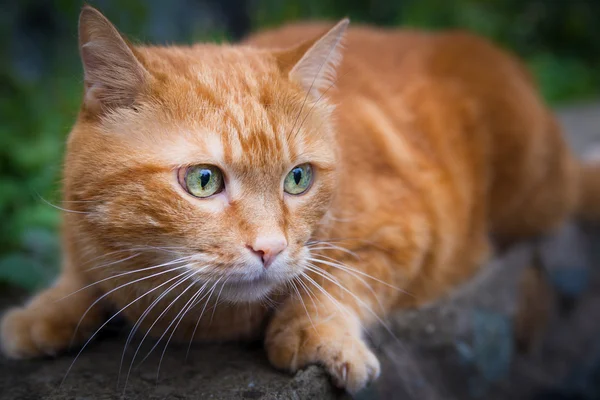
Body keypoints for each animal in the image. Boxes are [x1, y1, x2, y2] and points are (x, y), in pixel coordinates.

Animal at [1, 5, 600, 394]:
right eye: (203, 180)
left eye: (298, 179)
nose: (269, 249)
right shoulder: (81, 236)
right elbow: (81, 274)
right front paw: (42, 311)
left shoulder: (405, 233)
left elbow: (341, 278)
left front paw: (315, 331)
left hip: (536, 193)